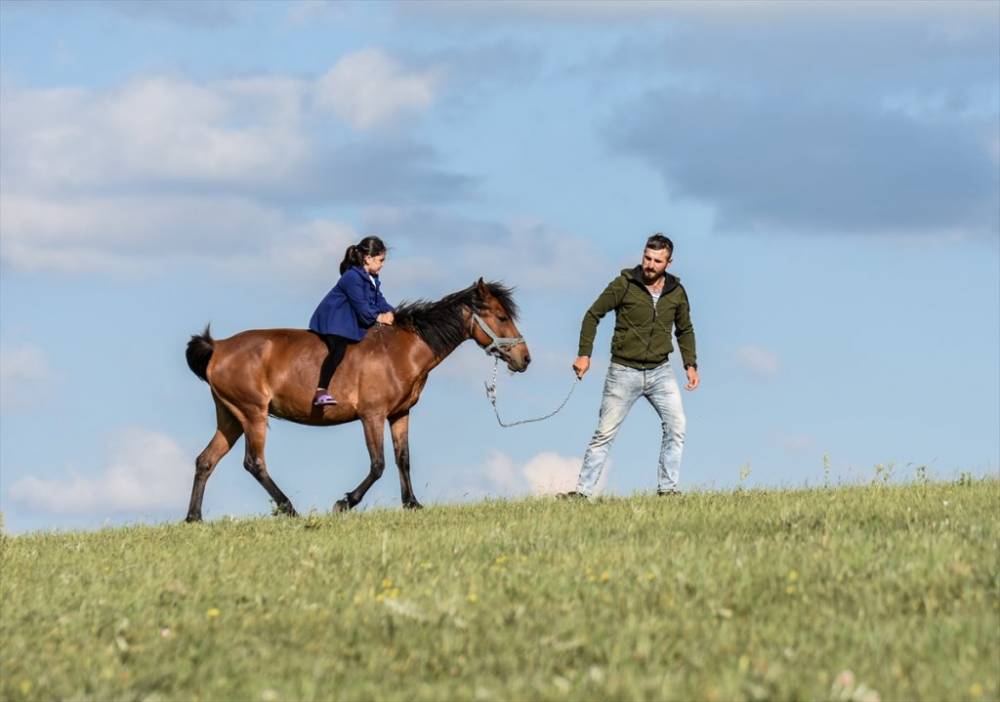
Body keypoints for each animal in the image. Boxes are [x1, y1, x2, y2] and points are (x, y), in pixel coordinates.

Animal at [185, 280, 536, 524]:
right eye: (502, 316)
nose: (525, 359)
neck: (402, 351)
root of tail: (217, 347)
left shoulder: (399, 414)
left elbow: (403, 459)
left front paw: (412, 503)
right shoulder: (372, 415)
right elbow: (378, 464)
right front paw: (345, 502)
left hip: (231, 417)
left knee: (206, 460)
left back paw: (194, 517)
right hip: (253, 414)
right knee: (254, 462)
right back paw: (289, 509)